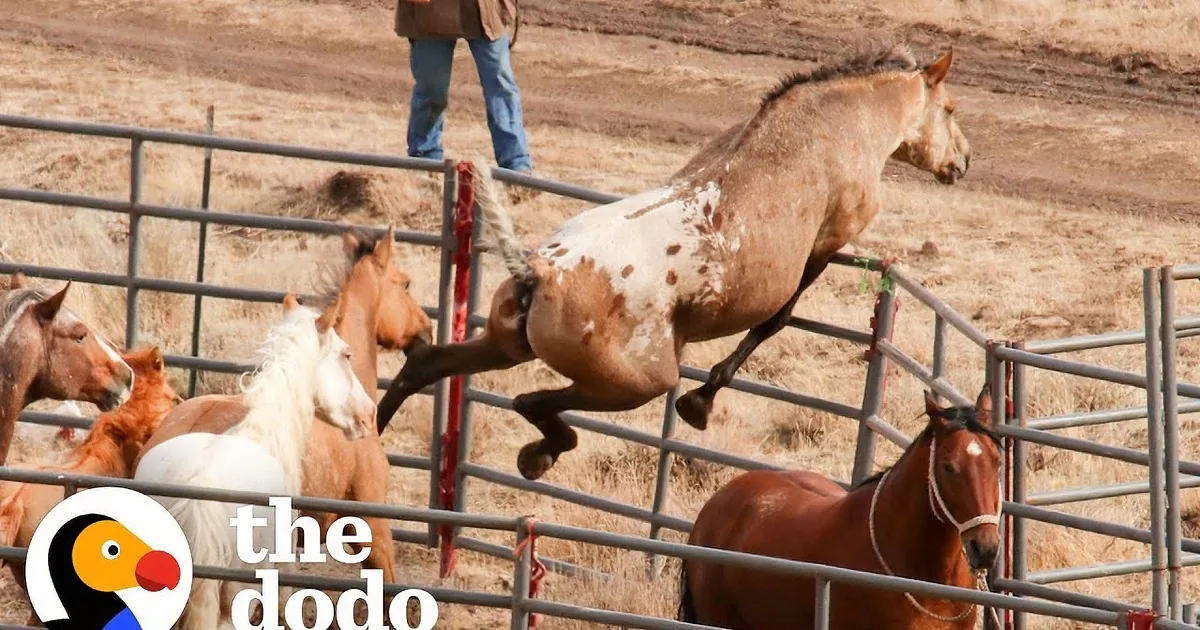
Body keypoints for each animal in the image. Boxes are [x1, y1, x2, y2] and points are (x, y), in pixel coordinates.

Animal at [374, 41, 972, 481]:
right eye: (949, 109)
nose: (963, 161)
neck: (836, 122)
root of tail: (540, 273)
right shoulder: (829, 242)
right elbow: (774, 321)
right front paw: (701, 403)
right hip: (638, 381)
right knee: (532, 402)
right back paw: (539, 453)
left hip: (504, 346)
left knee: (429, 365)